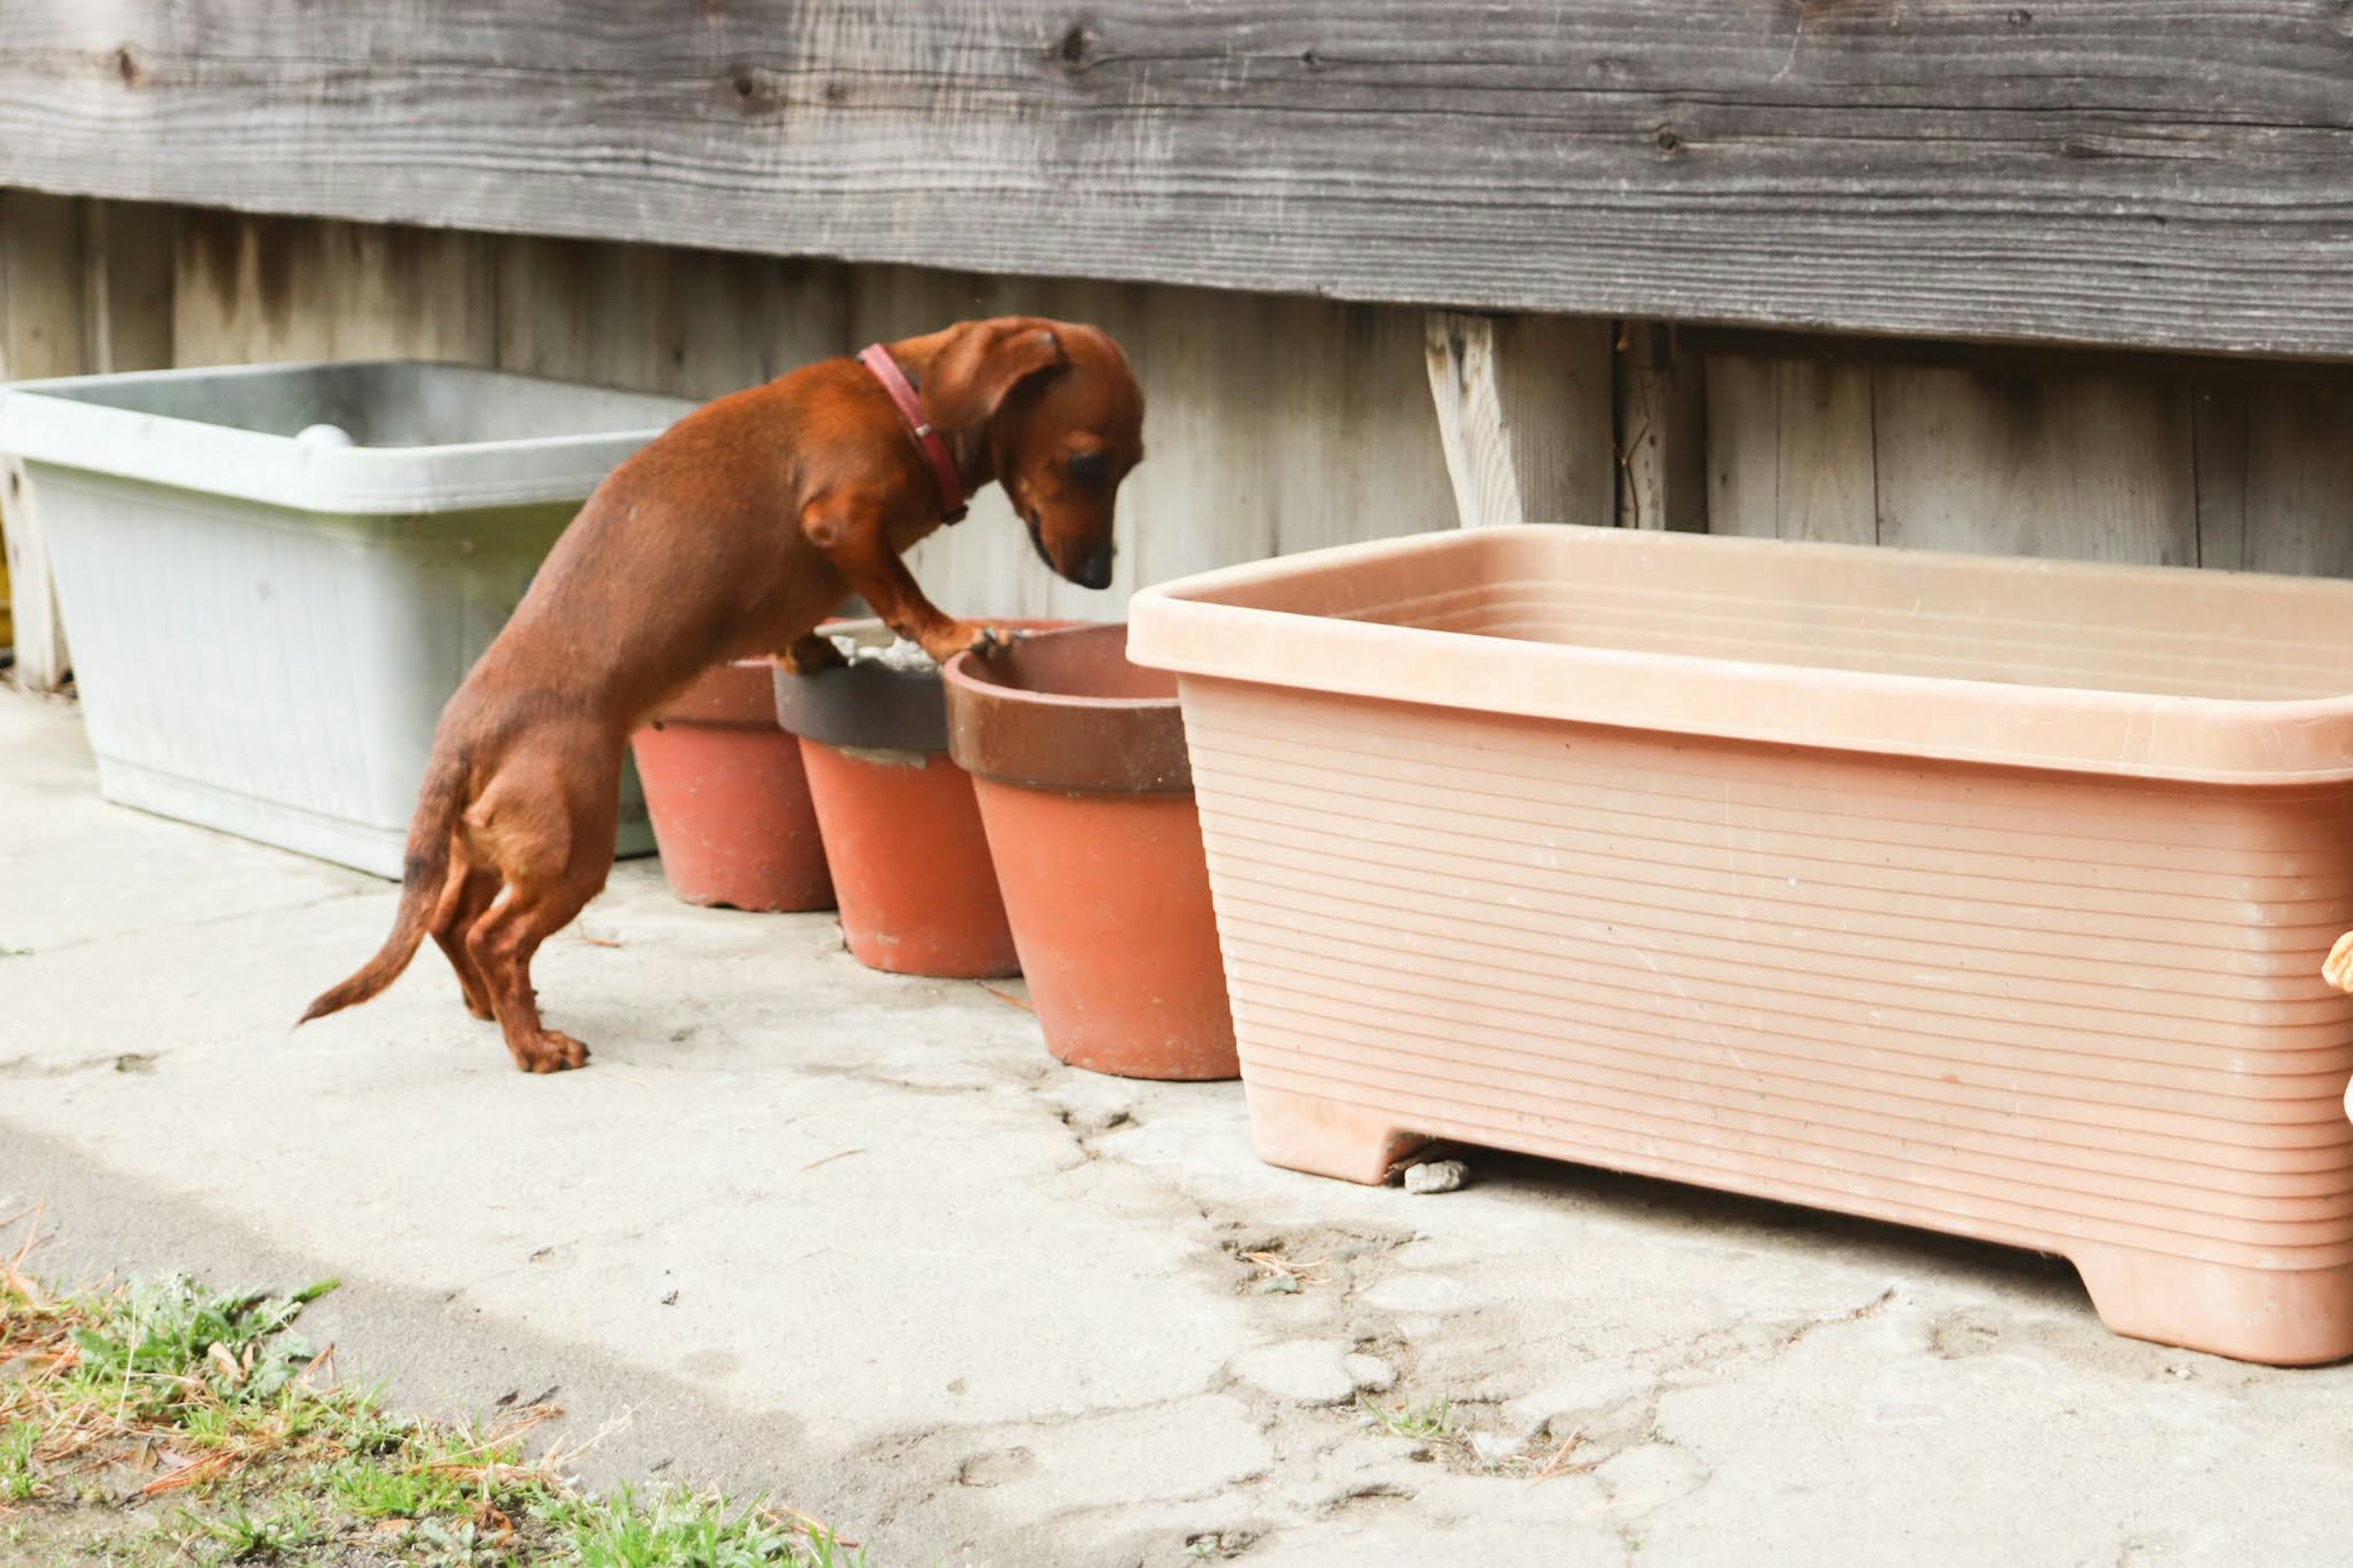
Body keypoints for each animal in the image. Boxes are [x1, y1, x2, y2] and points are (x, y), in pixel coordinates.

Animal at [298, 317, 1143, 1074]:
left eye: (1130, 463)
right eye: (1089, 462)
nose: (1101, 576)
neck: (907, 405)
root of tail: (467, 730)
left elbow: (803, 624)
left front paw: (815, 653)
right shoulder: (846, 522)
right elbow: (906, 598)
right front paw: (955, 634)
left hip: (487, 849)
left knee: (448, 922)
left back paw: (490, 1009)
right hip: (571, 849)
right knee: (494, 939)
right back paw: (535, 1046)